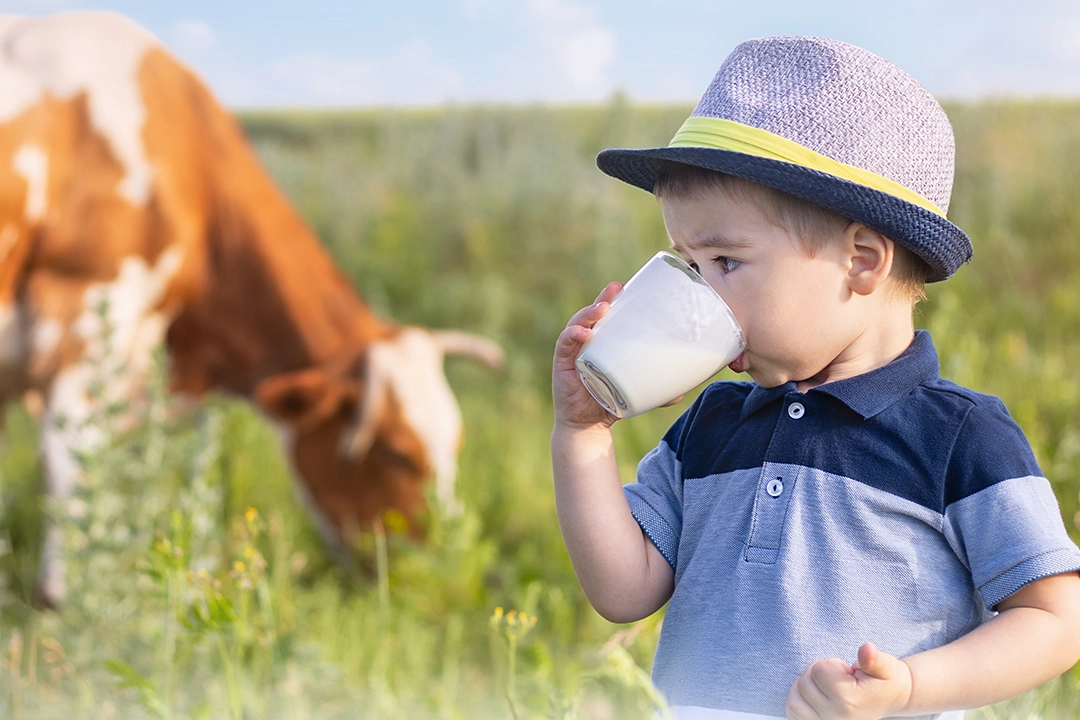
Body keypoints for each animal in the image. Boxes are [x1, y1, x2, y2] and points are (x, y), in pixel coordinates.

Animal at [0, 12, 505, 608]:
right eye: (397, 453)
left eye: (456, 444)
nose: (438, 577)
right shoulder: (88, 303)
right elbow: (71, 459)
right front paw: (67, 597)